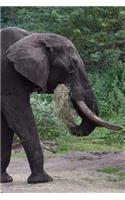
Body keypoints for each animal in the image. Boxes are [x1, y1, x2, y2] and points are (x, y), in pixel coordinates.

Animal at [0, 27, 122, 184]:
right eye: (74, 66)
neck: (32, 36)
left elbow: (5, 125)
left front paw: (5, 180)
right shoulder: (8, 77)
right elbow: (20, 118)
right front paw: (43, 180)